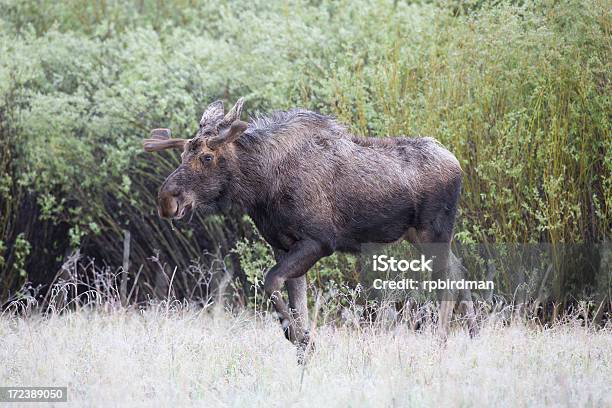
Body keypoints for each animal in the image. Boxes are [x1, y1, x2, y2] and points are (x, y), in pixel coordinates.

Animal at [143, 97, 478, 358]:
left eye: (207, 156)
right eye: (183, 154)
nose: (166, 199)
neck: (261, 187)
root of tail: (458, 164)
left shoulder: (319, 241)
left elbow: (271, 283)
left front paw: (304, 339)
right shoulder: (282, 245)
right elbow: (294, 302)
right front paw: (303, 348)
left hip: (433, 232)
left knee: (448, 280)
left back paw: (440, 343)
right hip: (418, 236)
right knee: (459, 271)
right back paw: (473, 335)